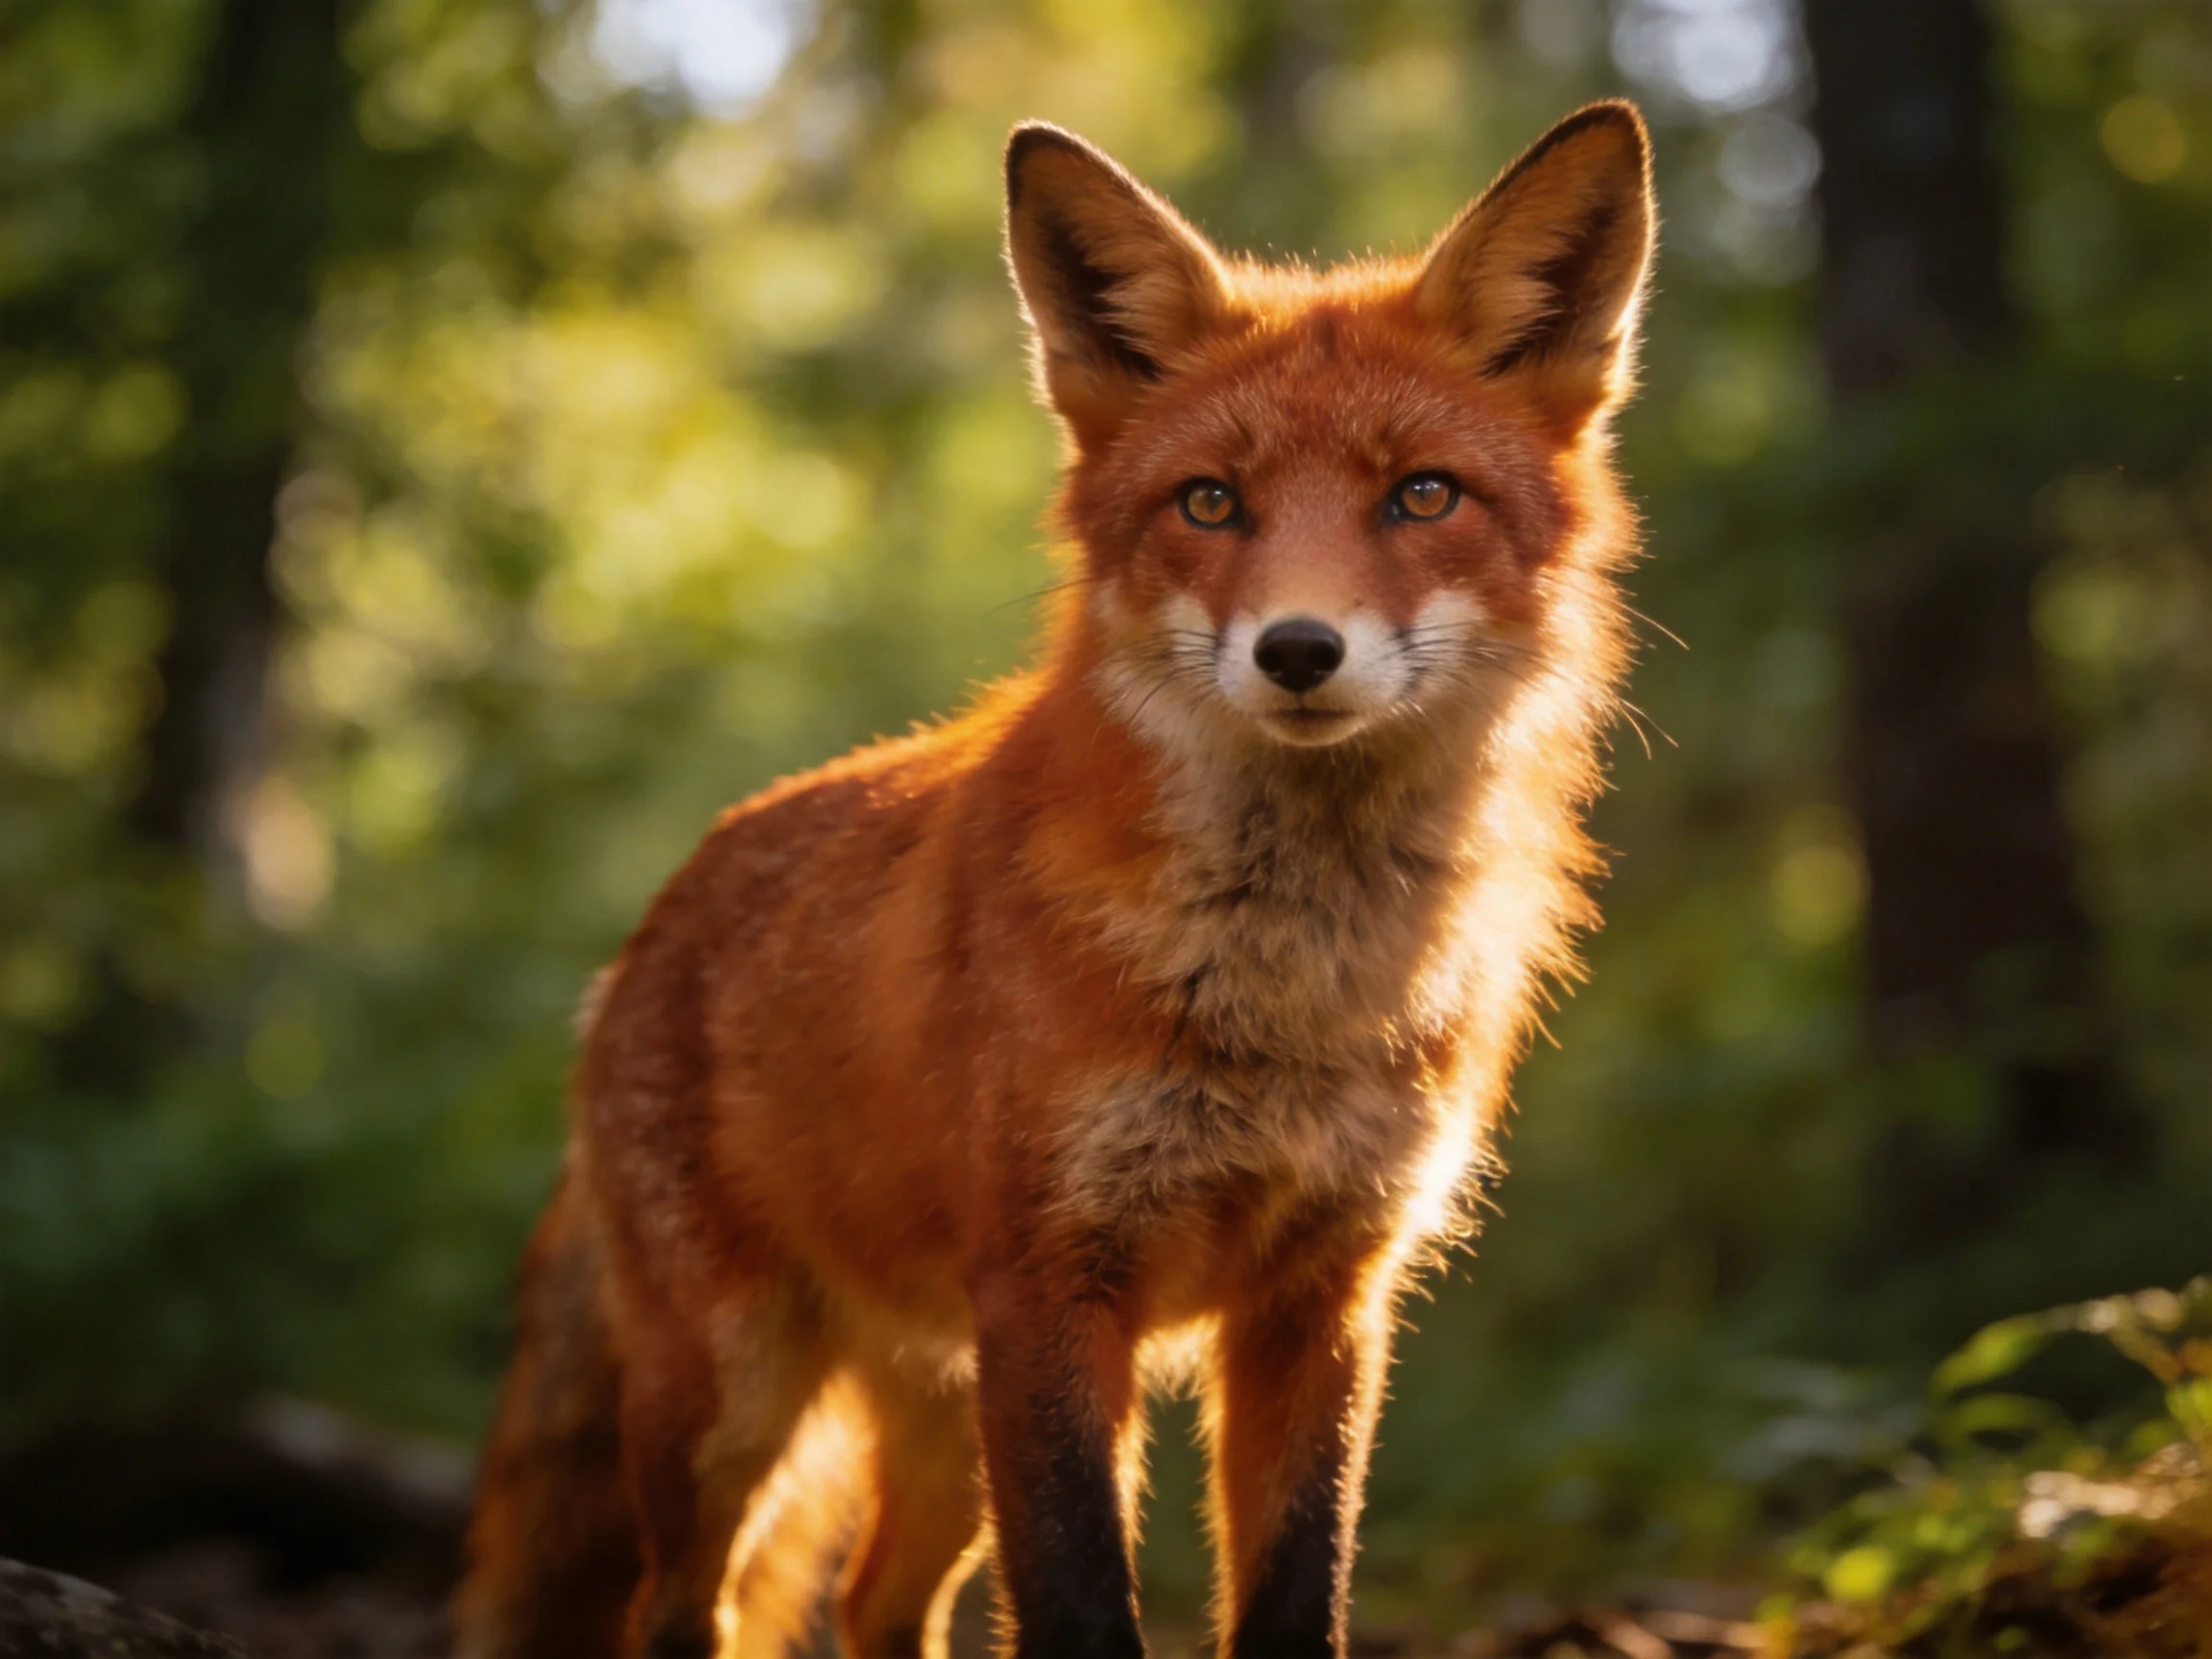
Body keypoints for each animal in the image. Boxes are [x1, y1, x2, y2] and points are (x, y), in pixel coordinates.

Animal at [453, 100, 1657, 1659]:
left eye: (1422, 496)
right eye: (1210, 502)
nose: (1298, 650)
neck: (1287, 996)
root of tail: (647, 930)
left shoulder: (1324, 1296)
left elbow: (1296, 1593)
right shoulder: (1052, 1287)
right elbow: (1085, 1606)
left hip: (939, 1420)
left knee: (873, 1607)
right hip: (732, 1397)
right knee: (678, 1610)